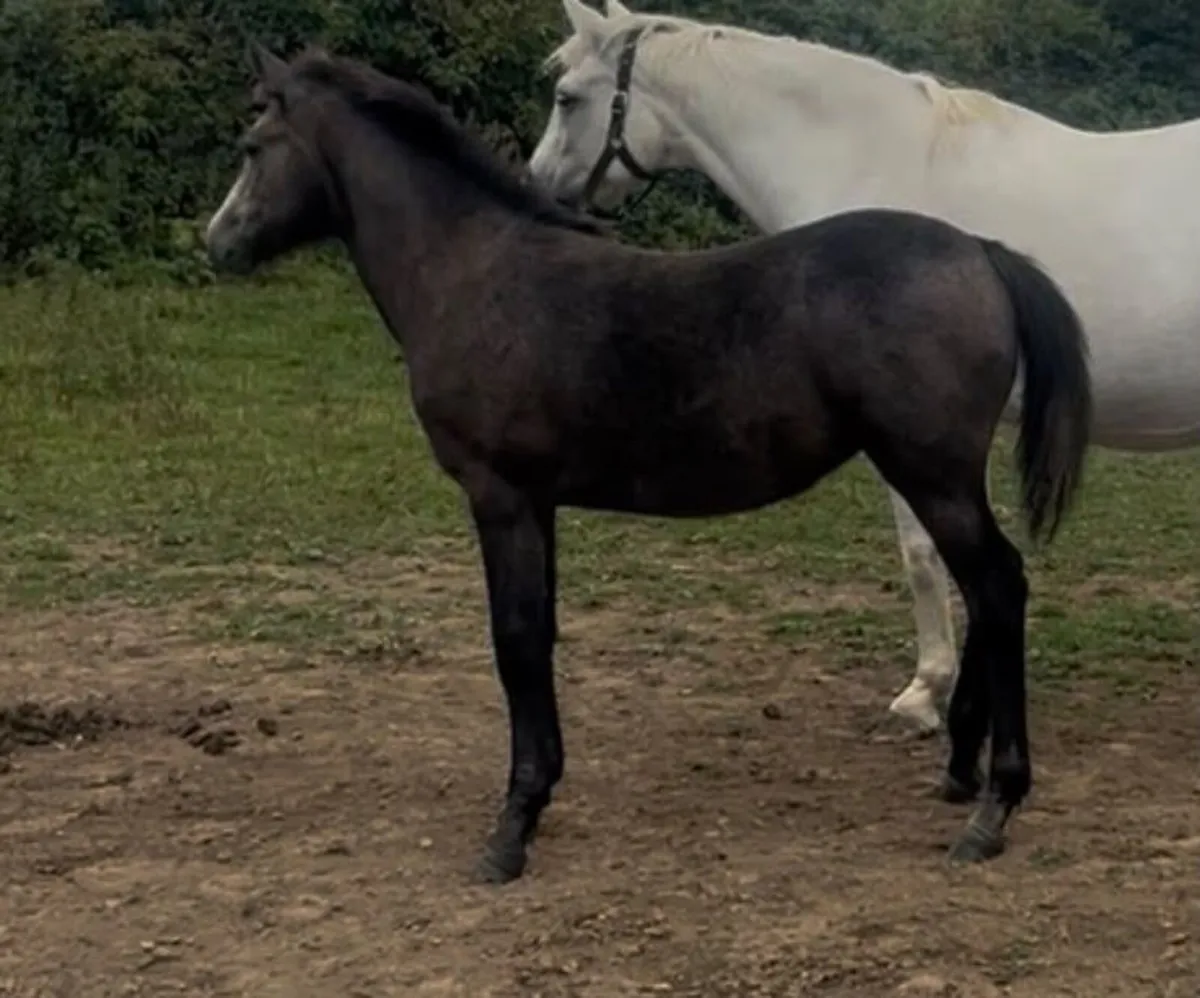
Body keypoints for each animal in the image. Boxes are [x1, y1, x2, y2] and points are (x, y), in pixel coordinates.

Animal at [205, 43, 1092, 883]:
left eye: (252, 144)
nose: (217, 243)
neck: (476, 273)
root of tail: (980, 252)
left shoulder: (500, 495)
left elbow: (515, 641)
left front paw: (511, 828)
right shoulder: (537, 503)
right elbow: (541, 634)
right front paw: (540, 795)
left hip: (933, 474)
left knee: (999, 585)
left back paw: (993, 806)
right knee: (990, 589)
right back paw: (960, 770)